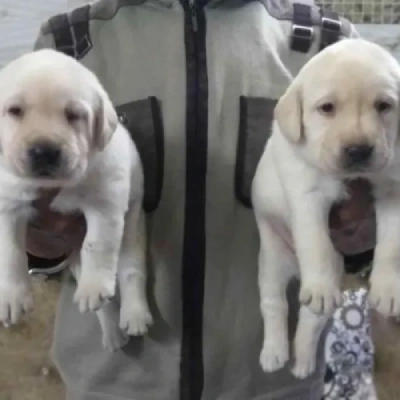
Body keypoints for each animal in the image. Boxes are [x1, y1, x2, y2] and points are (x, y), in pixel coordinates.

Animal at [0, 49, 152, 350]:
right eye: (15, 111)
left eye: (74, 115)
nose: (44, 151)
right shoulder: (8, 204)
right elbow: (10, 252)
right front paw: (12, 297)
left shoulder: (105, 201)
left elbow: (97, 245)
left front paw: (95, 285)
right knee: (103, 306)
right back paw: (112, 334)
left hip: (133, 225)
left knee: (131, 270)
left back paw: (134, 314)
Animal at [253, 39, 400, 380]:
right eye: (327, 108)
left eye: (384, 106)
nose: (358, 150)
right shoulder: (307, 195)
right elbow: (316, 244)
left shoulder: (392, 188)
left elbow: (391, 247)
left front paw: (388, 289)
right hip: (271, 261)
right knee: (274, 305)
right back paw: (275, 353)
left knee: (311, 322)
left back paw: (303, 363)